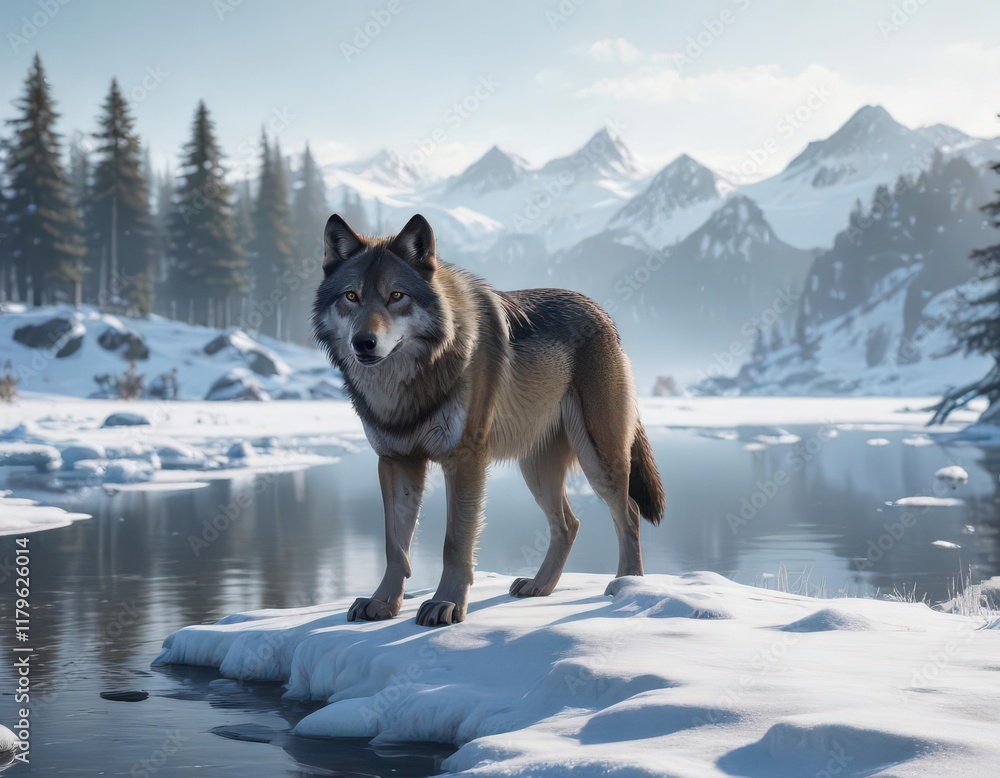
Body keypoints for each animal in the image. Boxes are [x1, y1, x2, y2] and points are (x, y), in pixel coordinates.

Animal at [313, 213, 665, 627]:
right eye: (351, 296)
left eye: (396, 296)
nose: (364, 342)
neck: (407, 388)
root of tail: (601, 312)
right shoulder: (396, 462)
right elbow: (394, 546)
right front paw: (383, 604)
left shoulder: (464, 459)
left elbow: (455, 542)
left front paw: (446, 604)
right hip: (536, 469)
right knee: (568, 524)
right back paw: (539, 586)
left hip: (599, 459)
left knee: (628, 514)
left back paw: (626, 587)